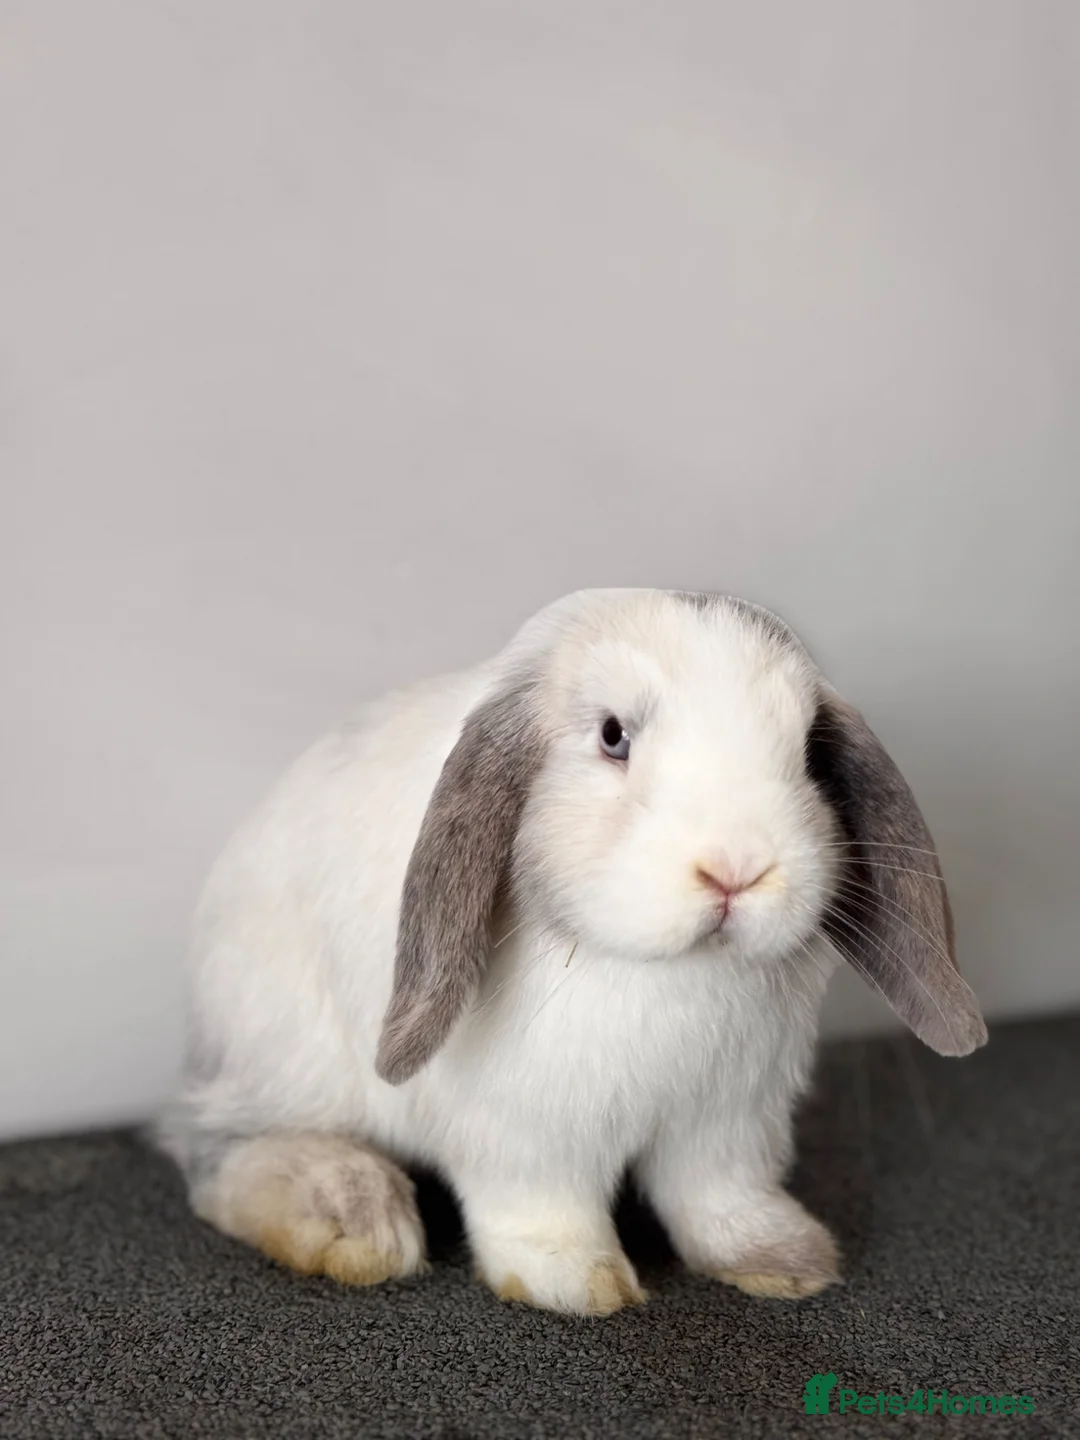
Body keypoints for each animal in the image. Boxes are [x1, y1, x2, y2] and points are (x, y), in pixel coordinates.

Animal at [154, 587, 986, 1315]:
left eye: (811, 751)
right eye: (614, 736)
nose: (738, 867)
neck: (669, 973)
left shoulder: (730, 1122)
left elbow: (719, 1194)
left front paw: (781, 1260)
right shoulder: (524, 1135)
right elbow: (542, 1207)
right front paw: (576, 1283)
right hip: (277, 1055)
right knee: (214, 1151)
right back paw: (347, 1216)